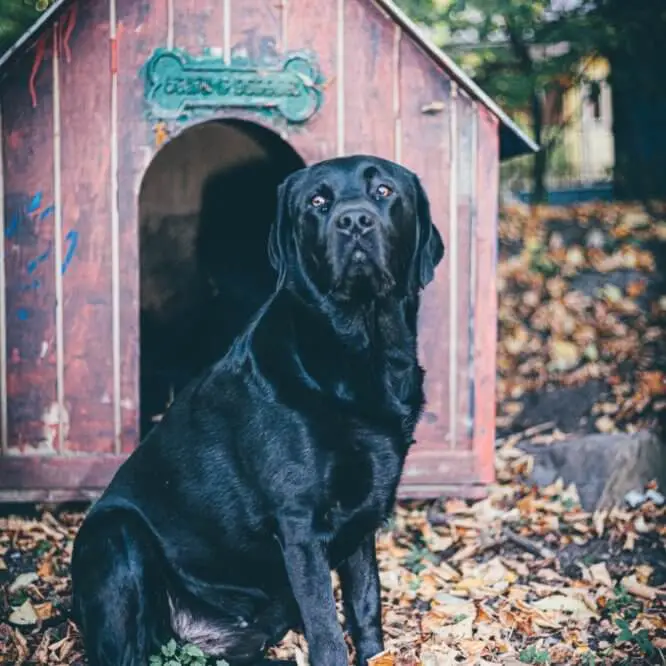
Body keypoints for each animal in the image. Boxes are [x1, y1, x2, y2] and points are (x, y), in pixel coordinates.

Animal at [71, 154, 440, 664]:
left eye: (383, 191)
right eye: (318, 202)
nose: (354, 221)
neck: (362, 351)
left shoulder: (363, 519)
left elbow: (366, 601)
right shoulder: (300, 523)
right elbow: (326, 628)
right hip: (115, 535)